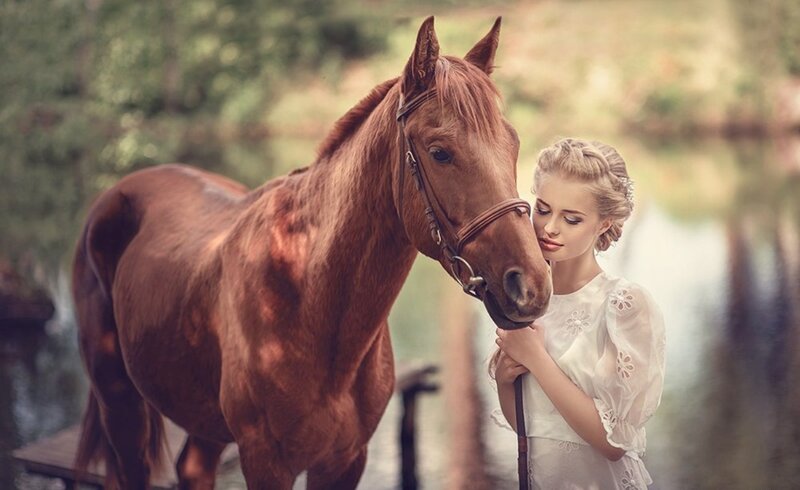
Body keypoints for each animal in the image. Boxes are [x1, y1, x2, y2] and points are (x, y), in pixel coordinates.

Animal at [71, 16, 551, 489]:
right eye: (440, 152)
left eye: (513, 144)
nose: (531, 286)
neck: (307, 295)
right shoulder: (266, 463)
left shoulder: (345, 461)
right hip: (120, 403)